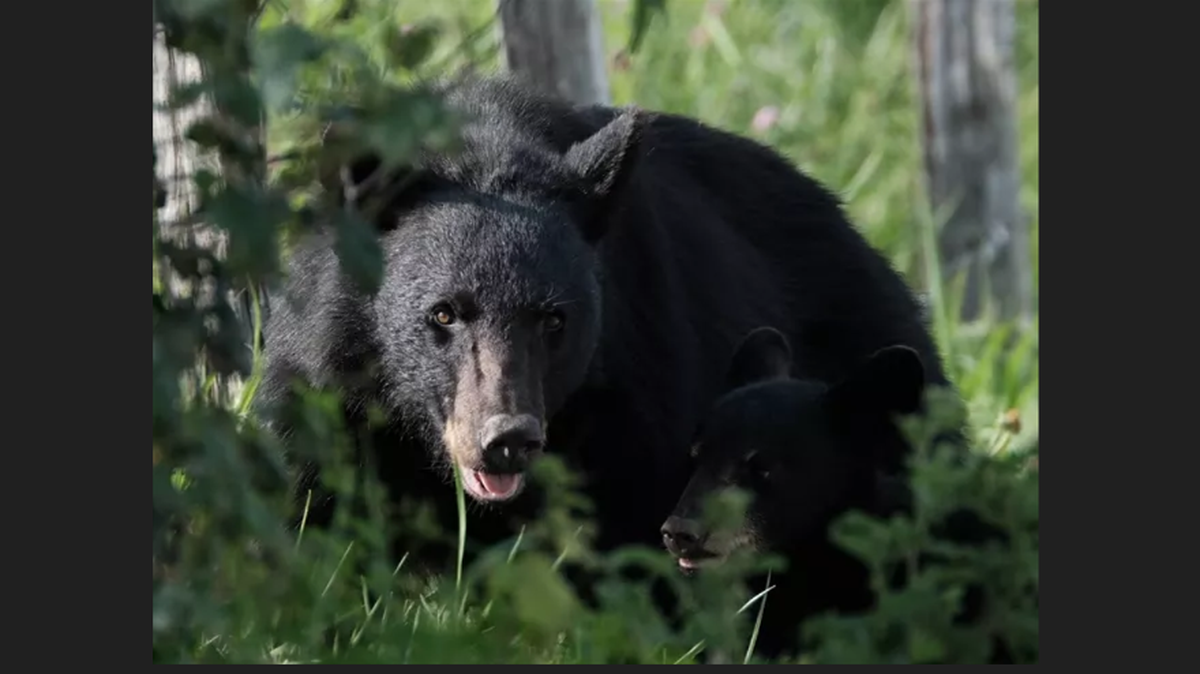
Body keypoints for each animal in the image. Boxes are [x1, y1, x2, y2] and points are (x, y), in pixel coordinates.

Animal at [255, 76, 951, 582]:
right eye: (444, 313)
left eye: (554, 319)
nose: (506, 441)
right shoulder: (326, 383)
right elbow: (316, 516)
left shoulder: (639, 393)